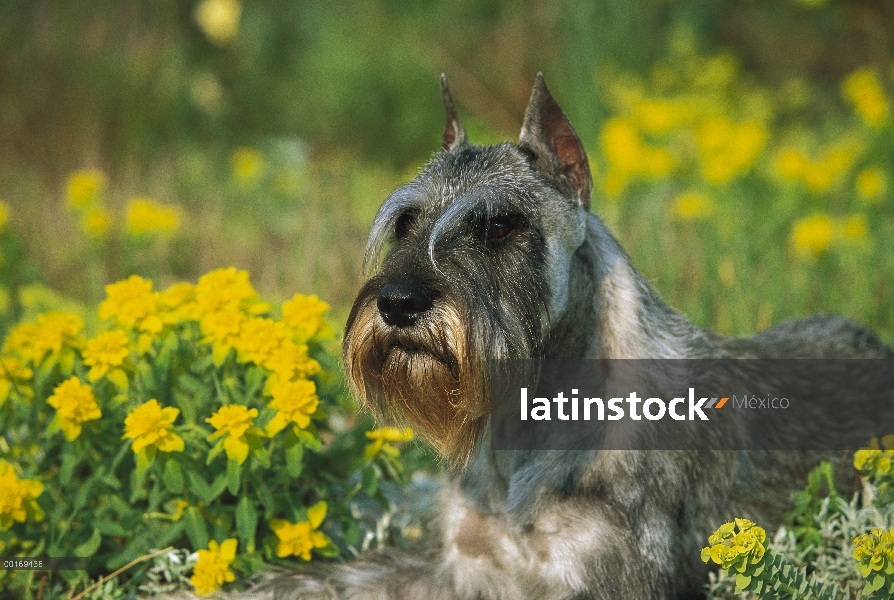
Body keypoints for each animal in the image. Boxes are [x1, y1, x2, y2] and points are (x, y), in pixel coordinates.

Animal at [234, 72, 892, 596]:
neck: (519, 435)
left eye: (499, 225)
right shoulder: (461, 567)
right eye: (405, 221)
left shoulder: (598, 578)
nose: (398, 303)